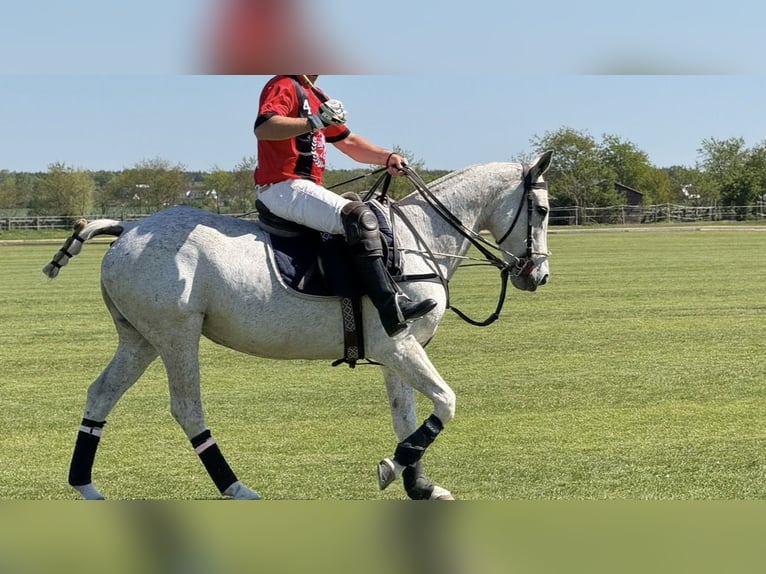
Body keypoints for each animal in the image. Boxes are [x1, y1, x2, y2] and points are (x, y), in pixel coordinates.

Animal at [42, 151, 553, 500]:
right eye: (544, 210)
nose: (538, 275)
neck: (421, 239)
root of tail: (127, 230)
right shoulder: (398, 345)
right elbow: (446, 402)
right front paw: (393, 466)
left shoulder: (397, 352)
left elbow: (405, 413)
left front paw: (420, 485)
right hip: (176, 334)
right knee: (187, 408)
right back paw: (236, 488)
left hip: (140, 338)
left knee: (101, 393)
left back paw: (85, 485)